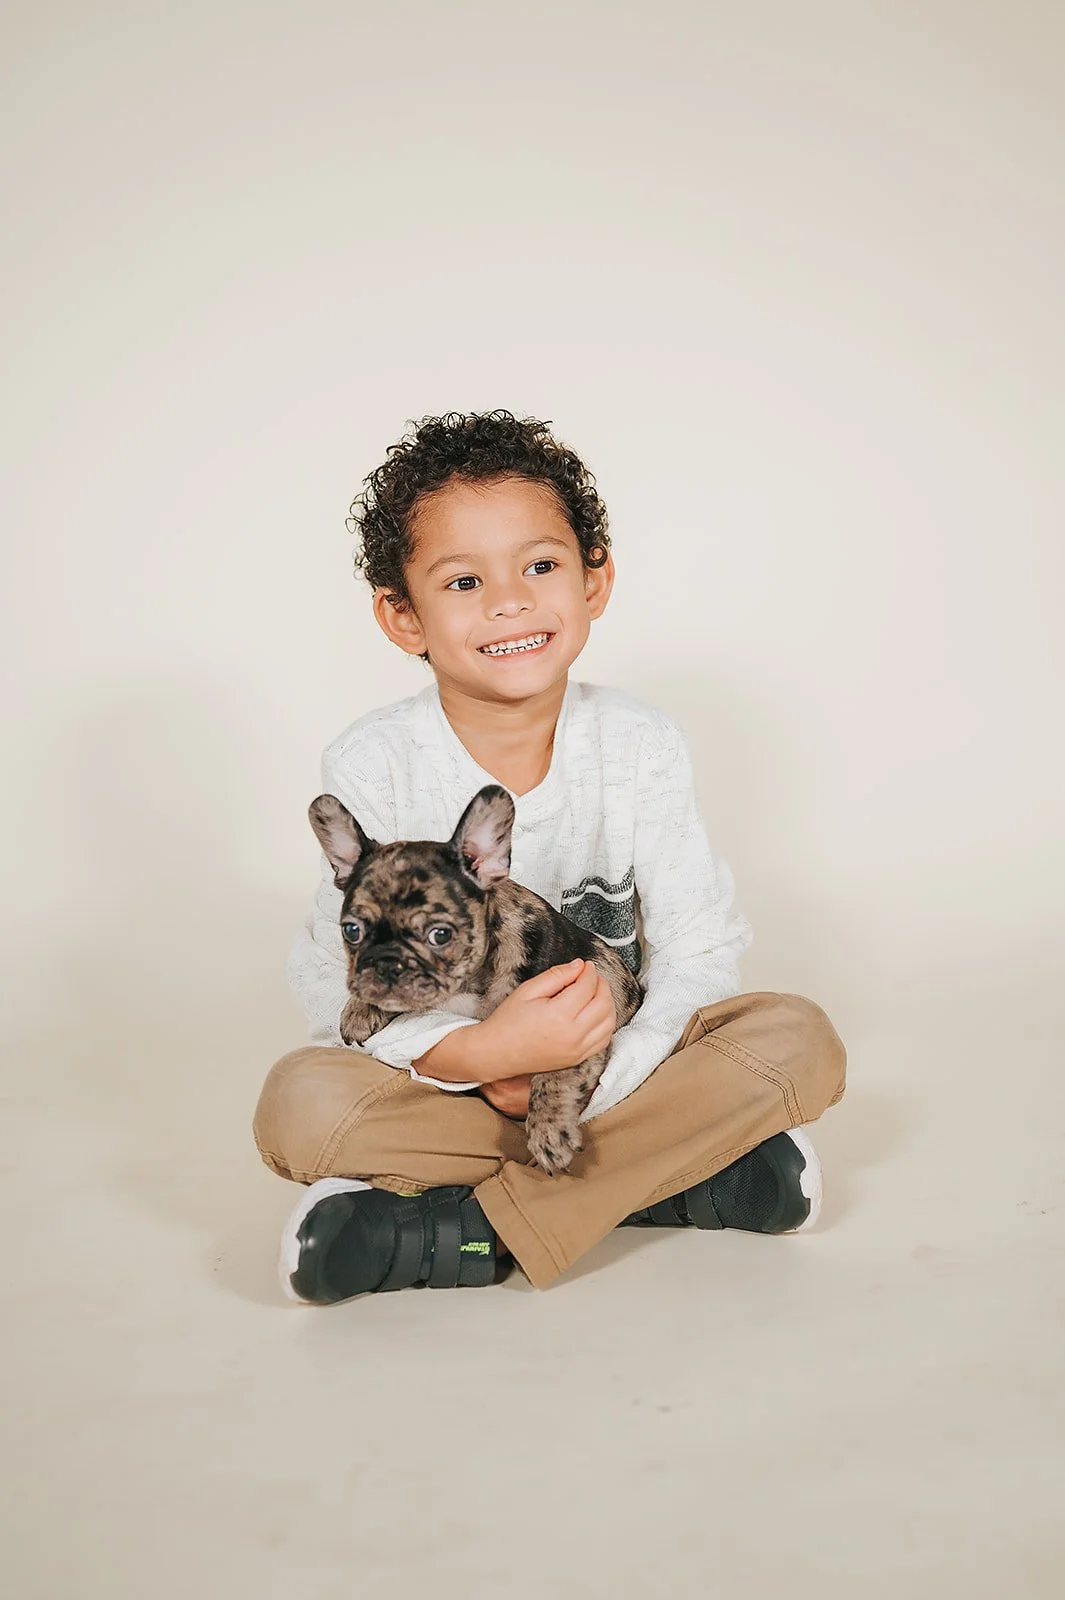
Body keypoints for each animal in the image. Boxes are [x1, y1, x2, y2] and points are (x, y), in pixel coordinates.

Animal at [308, 784, 644, 1175]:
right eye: (351, 931)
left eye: (440, 935)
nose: (387, 964)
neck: (471, 981)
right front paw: (362, 1008)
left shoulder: (582, 1008)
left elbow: (556, 1068)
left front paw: (548, 1129)